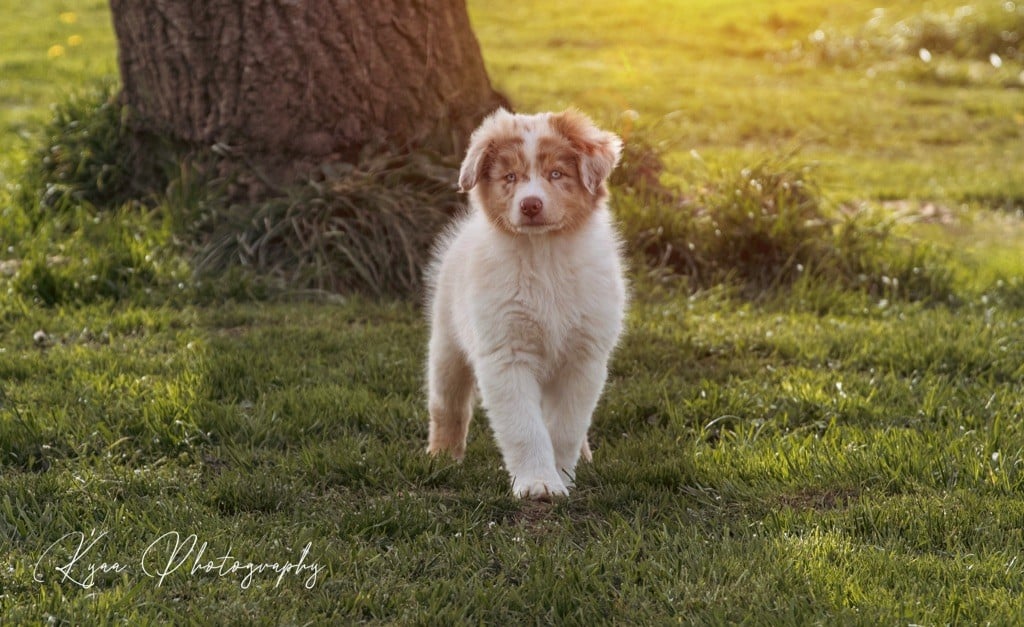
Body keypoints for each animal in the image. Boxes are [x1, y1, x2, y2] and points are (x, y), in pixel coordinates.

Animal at [425, 109, 630, 499]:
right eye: (510, 177)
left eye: (556, 174)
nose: (530, 204)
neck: (543, 256)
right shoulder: (506, 355)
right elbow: (525, 428)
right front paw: (538, 483)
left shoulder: (584, 358)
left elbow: (565, 426)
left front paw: (562, 475)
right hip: (447, 345)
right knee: (448, 405)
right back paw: (441, 456)